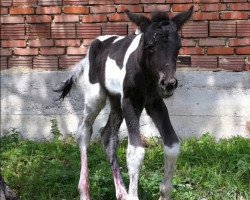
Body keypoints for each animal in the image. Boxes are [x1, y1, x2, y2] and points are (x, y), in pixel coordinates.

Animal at [55, 6, 193, 200]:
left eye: (178, 47)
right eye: (149, 46)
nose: (168, 84)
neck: (146, 76)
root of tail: (94, 45)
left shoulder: (155, 102)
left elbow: (172, 145)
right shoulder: (130, 102)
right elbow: (135, 151)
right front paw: (133, 195)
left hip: (116, 102)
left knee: (107, 136)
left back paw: (122, 193)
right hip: (96, 96)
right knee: (84, 131)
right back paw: (85, 191)